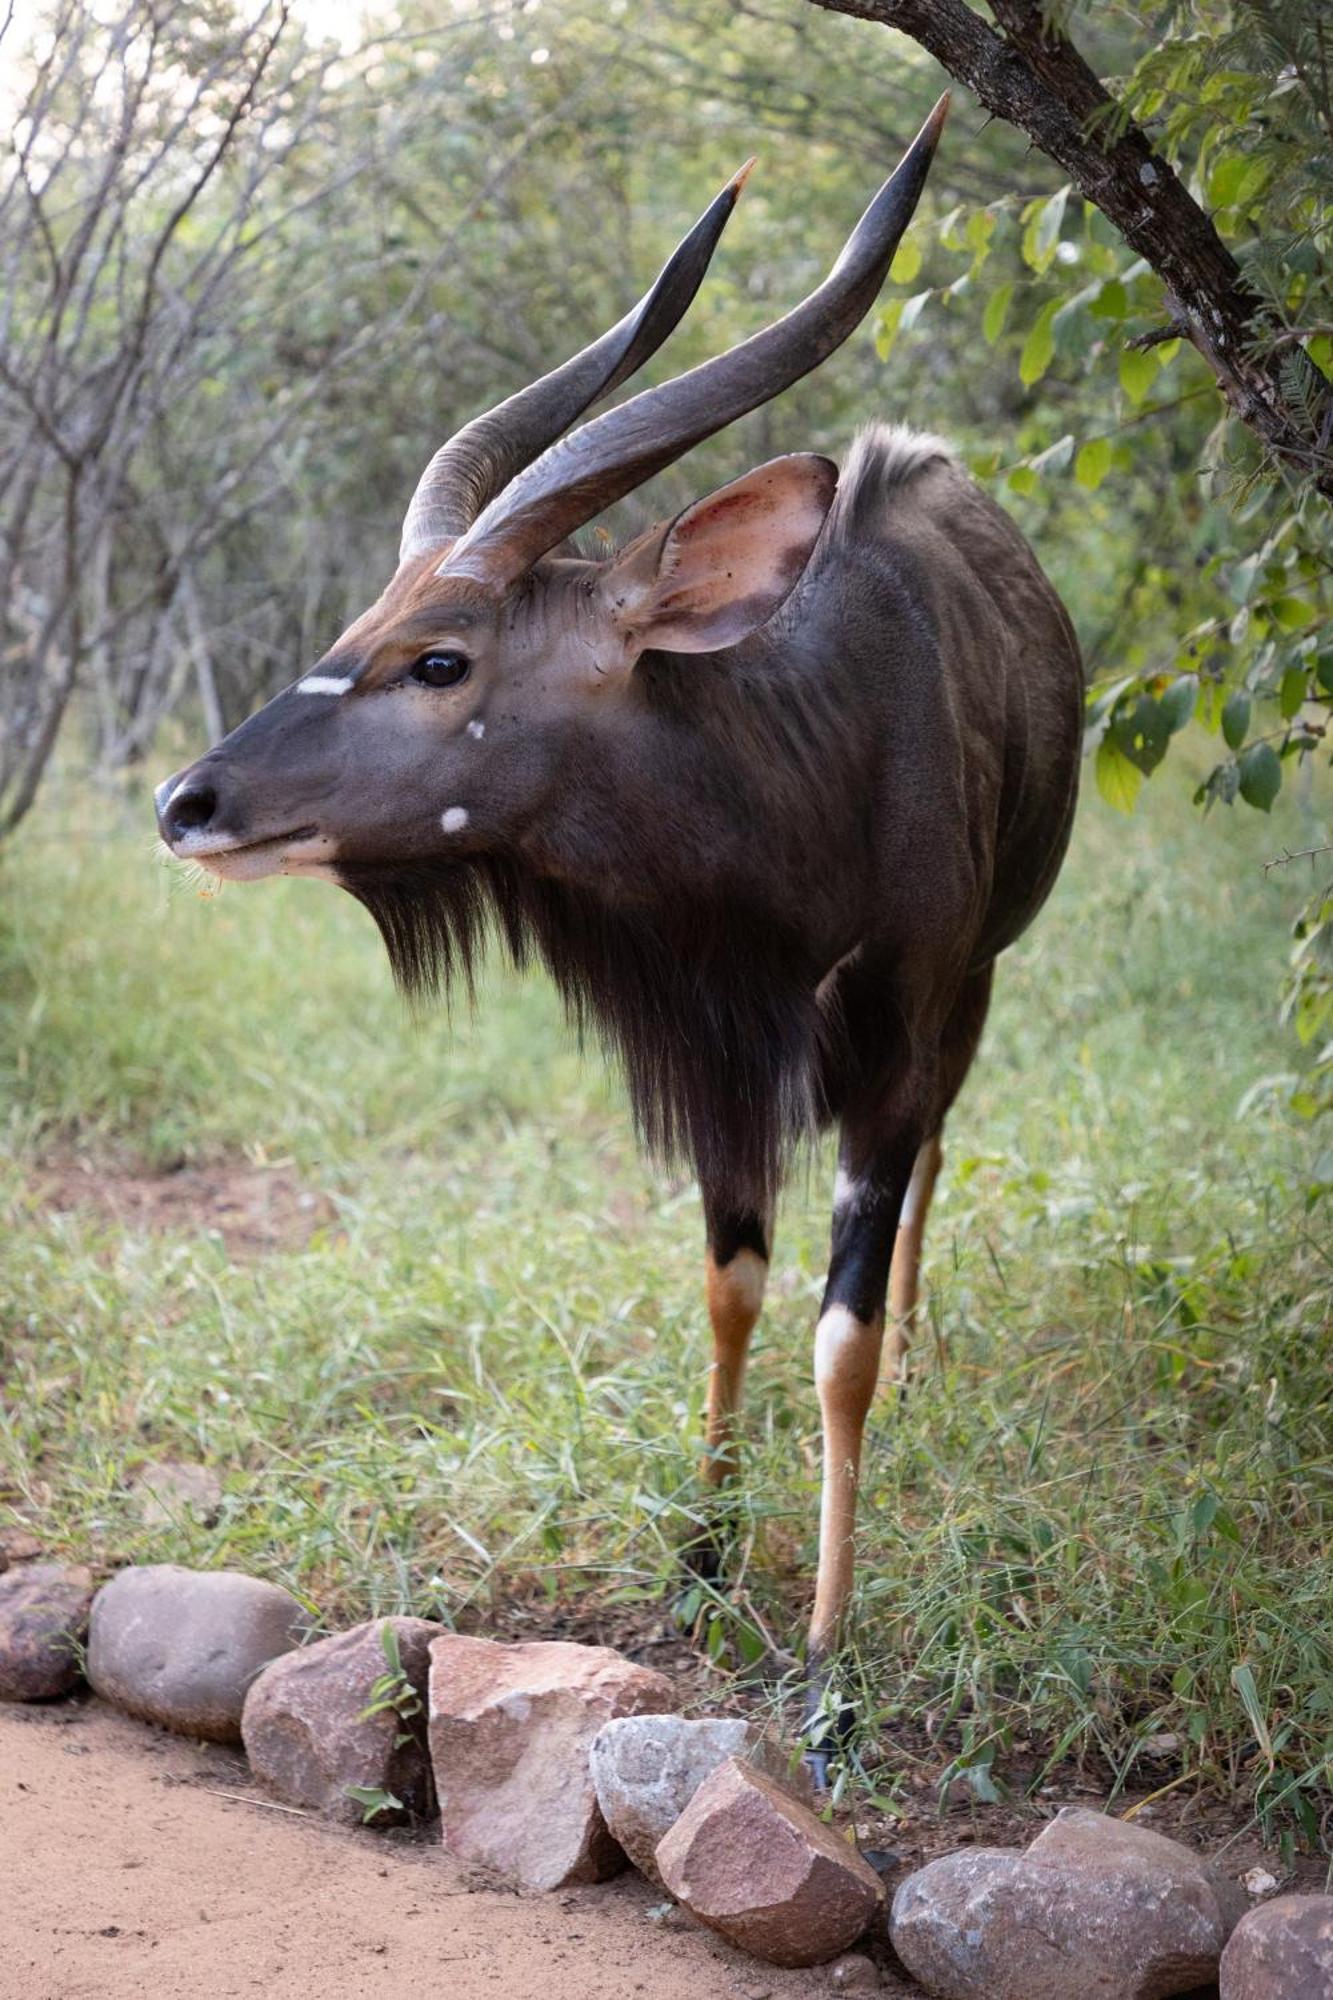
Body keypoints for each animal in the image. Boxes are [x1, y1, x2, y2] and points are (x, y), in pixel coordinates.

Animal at [156, 101, 1080, 1776]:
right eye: (363, 625)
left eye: (438, 657)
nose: (189, 802)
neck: (807, 769)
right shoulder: (722, 1061)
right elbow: (729, 1282)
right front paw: (703, 1557)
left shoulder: (893, 1024)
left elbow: (838, 1338)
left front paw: (831, 1672)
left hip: (975, 986)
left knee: (934, 1168)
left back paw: (926, 1357)